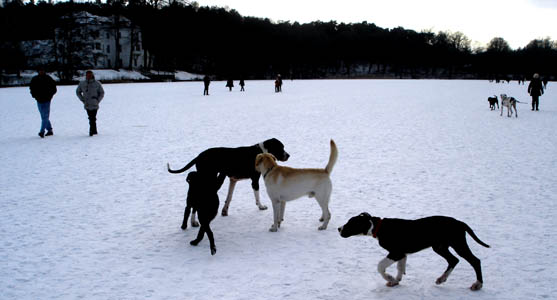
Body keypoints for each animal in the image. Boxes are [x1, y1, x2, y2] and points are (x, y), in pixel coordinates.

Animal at [336, 212, 488, 292]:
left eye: (350, 223)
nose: (339, 228)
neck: (379, 228)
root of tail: (460, 223)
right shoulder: (402, 254)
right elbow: (400, 267)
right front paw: (395, 281)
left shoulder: (396, 252)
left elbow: (380, 266)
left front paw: (389, 278)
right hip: (439, 247)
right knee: (454, 260)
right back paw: (441, 278)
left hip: (458, 244)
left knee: (475, 260)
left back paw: (477, 284)